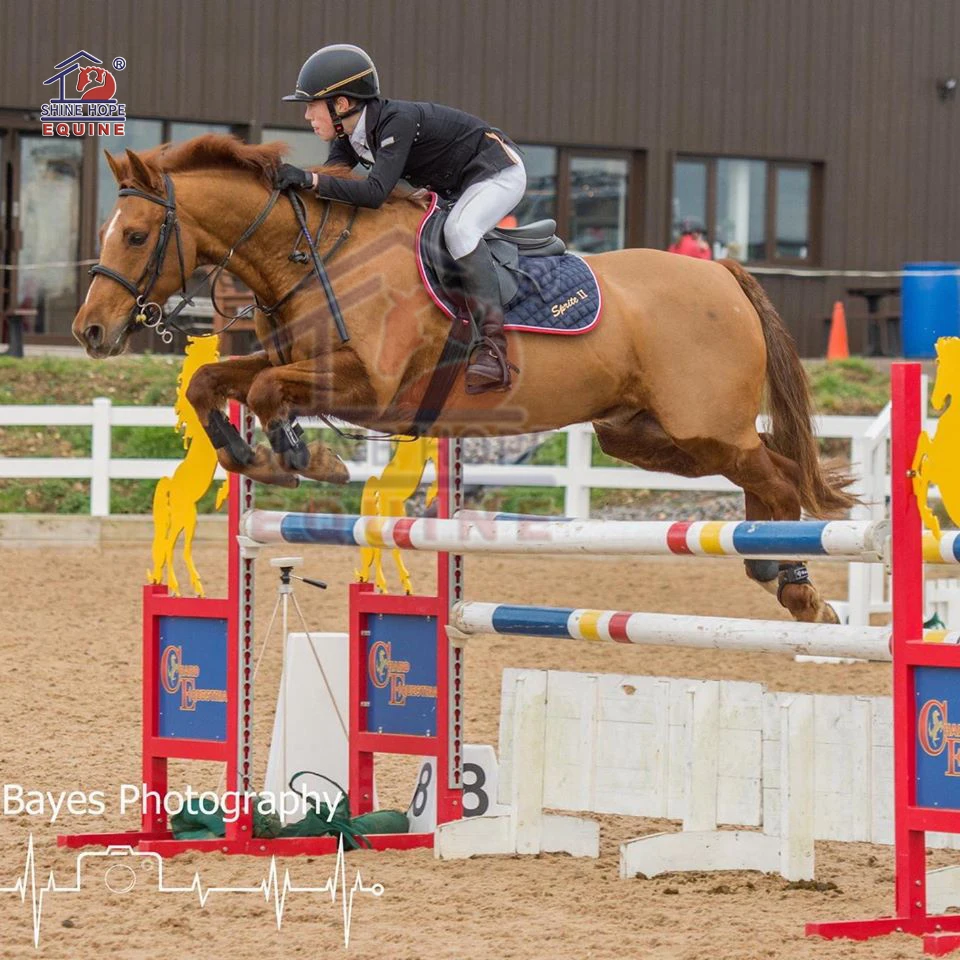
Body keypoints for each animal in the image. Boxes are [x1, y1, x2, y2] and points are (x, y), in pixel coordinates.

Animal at [73, 134, 856, 623]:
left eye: (135, 235)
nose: (90, 331)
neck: (310, 251)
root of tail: (719, 272)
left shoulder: (372, 389)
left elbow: (265, 393)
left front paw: (307, 457)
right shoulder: (302, 365)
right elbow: (214, 383)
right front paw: (249, 455)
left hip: (702, 427)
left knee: (779, 476)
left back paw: (796, 587)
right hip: (649, 436)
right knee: (777, 468)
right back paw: (776, 569)